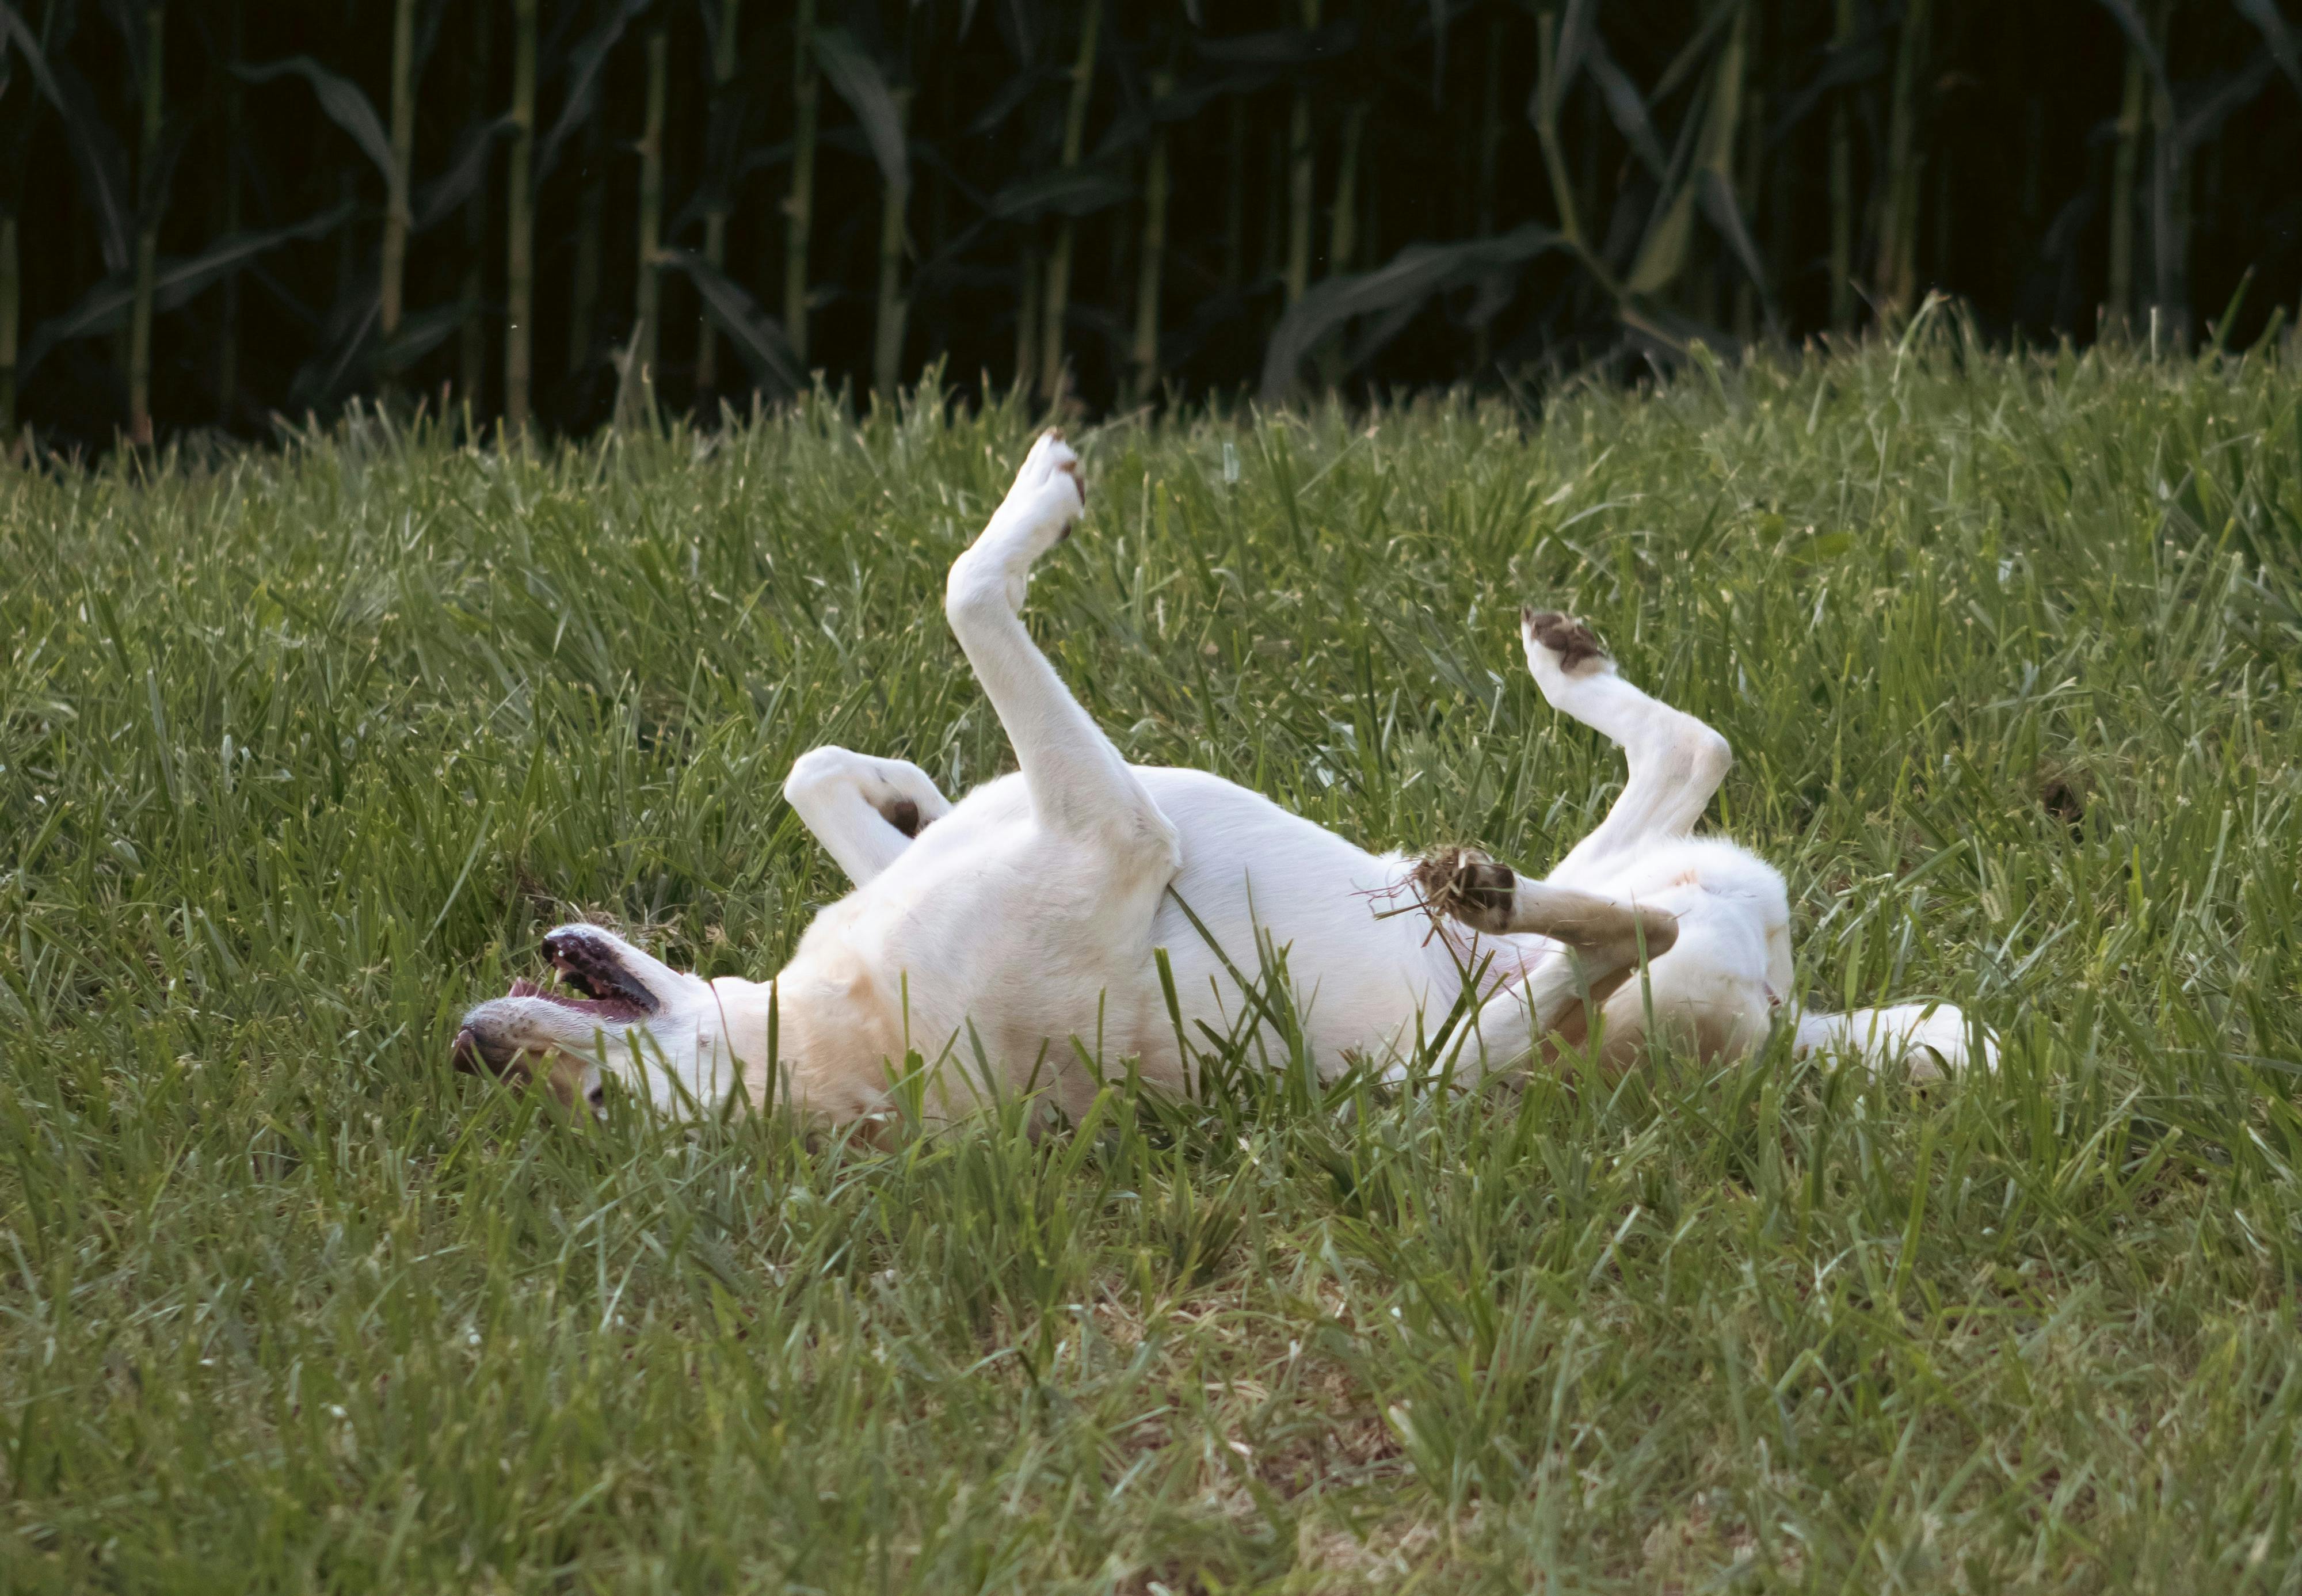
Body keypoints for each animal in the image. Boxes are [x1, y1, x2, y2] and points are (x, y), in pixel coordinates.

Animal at [458, 431, 1989, 1114]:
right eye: (600, 1113)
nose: (476, 1047)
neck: (825, 1039)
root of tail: (1782, 1026)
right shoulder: (1112, 823)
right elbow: (970, 587)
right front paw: (1037, 506)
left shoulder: (1054, 807)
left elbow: (818, 771)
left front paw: (907, 786)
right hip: (1459, 1060)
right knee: (1623, 925)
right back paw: (1488, 887)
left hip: (1607, 877)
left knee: (1685, 759)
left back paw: (1559, 672)